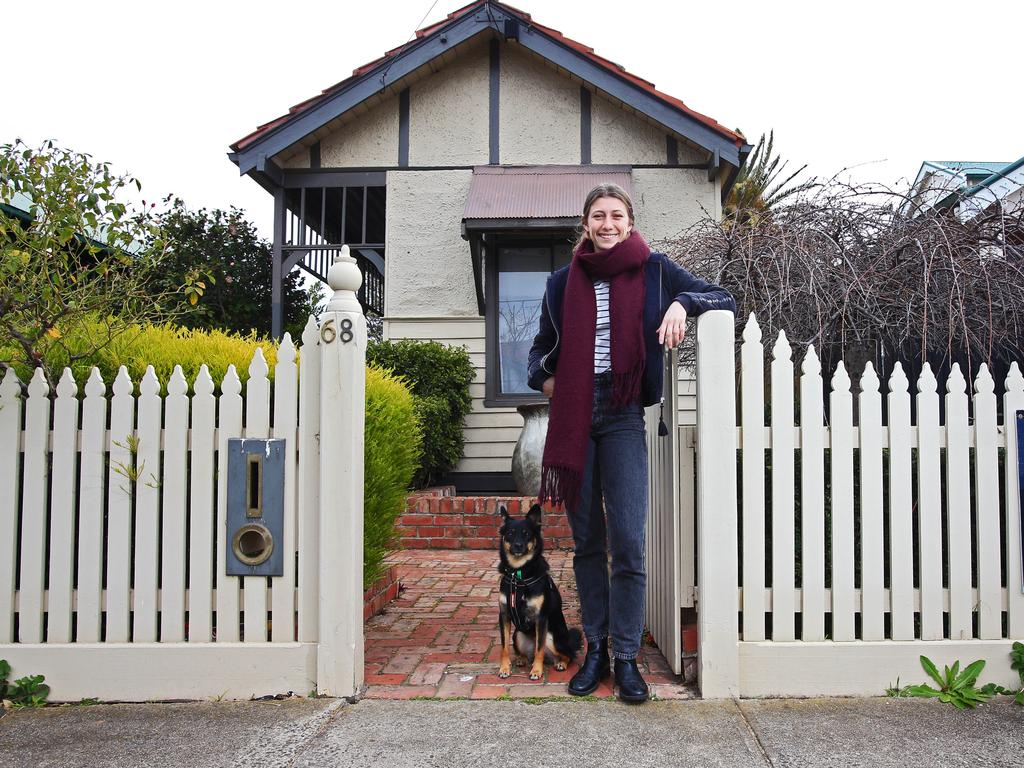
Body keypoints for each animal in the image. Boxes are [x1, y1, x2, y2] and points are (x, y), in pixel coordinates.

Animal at [497, 505, 585, 679]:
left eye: (526, 534)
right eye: (510, 533)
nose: (518, 545)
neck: (518, 575)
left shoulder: (541, 618)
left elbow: (540, 649)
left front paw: (536, 671)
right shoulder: (503, 615)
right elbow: (504, 648)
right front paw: (504, 668)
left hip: (552, 637)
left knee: (568, 655)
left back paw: (561, 664)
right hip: (517, 635)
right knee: (527, 653)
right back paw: (521, 659)